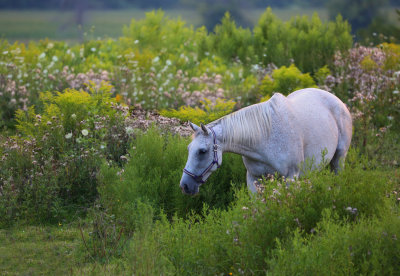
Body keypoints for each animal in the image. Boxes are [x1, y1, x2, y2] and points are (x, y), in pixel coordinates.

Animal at [180, 88, 352, 194]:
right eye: (188, 149)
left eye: (202, 151)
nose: (185, 185)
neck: (264, 137)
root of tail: (338, 101)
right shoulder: (254, 180)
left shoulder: (290, 178)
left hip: (339, 159)